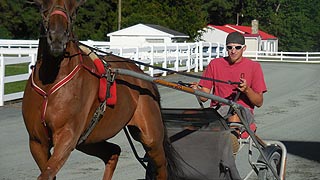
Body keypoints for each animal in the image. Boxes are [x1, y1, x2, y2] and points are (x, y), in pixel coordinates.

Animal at [22, 0, 181, 179]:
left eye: (74, 10)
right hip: (89, 139)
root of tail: (145, 78)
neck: (50, 83)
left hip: (151, 138)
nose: (57, 38)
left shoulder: (67, 136)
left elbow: (47, 173)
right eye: (42, 6)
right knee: (113, 151)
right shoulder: (37, 142)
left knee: (161, 166)